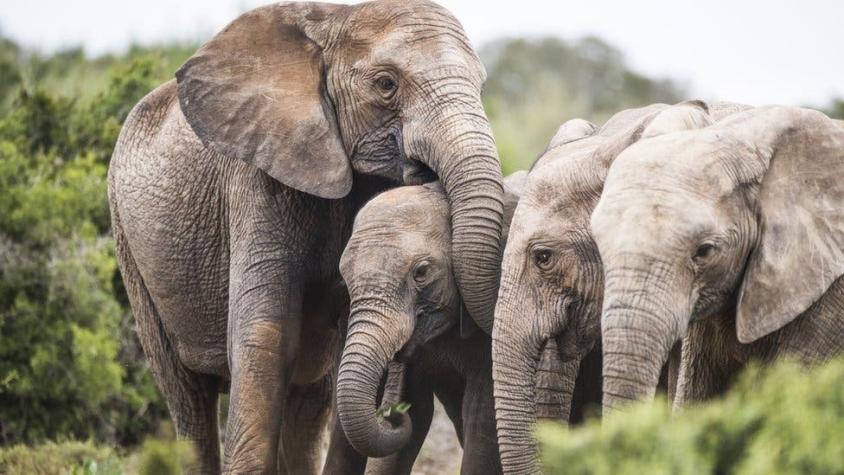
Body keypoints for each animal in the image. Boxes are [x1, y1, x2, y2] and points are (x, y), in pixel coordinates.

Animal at [105, 1, 502, 474]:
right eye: (386, 84)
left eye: (482, 86)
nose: (396, 414)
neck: (333, 21)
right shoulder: (257, 179)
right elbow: (266, 338)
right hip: (130, 248)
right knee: (188, 397)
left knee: (306, 404)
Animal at [334, 176, 528, 475]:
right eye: (344, 276)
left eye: (421, 272)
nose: (390, 414)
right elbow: (417, 415)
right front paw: (404, 410)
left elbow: (483, 423)